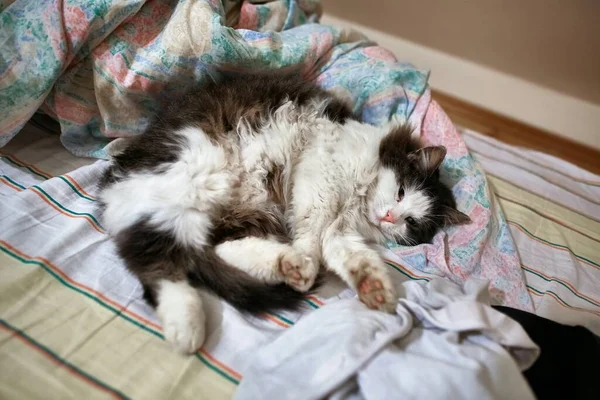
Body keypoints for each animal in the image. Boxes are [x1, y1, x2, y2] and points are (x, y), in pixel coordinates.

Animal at [98, 74, 472, 354]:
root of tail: (112, 181)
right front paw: (308, 255)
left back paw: (286, 265)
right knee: (159, 264)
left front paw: (374, 288)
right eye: (401, 191)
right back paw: (187, 327)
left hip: (240, 214)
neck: (357, 202)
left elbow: (348, 255)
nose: (391, 217)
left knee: (212, 249)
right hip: (189, 183)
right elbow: (313, 229)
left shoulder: (340, 229)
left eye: (412, 222)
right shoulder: (320, 175)